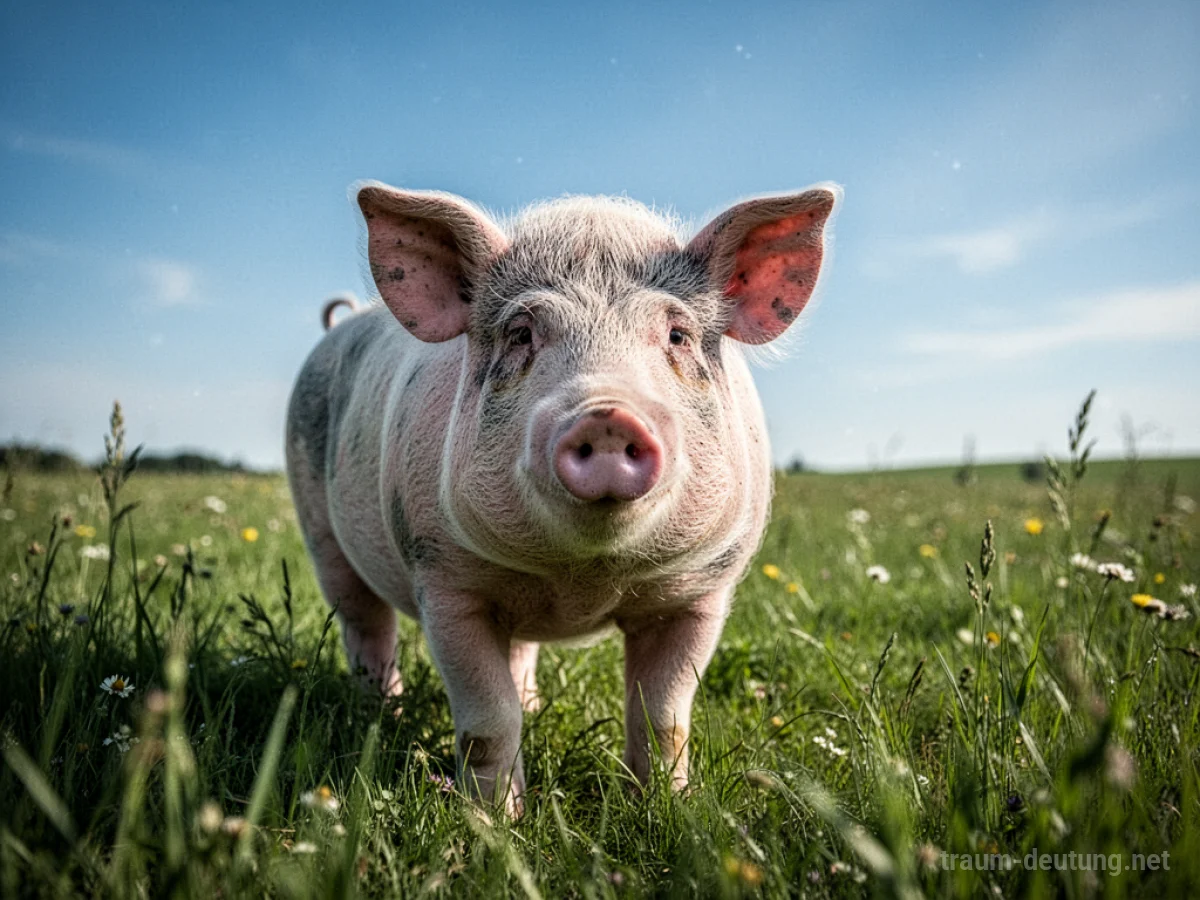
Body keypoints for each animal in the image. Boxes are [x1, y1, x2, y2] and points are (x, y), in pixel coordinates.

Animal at [285, 181, 839, 814]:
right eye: (521, 333)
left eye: (676, 335)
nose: (607, 414)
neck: (580, 579)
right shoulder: (444, 582)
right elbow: (486, 720)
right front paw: (497, 821)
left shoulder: (701, 590)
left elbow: (664, 716)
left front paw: (665, 811)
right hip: (321, 531)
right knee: (366, 624)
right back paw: (383, 712)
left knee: (517, 649)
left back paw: (528, 704)